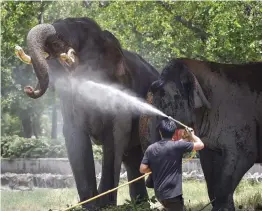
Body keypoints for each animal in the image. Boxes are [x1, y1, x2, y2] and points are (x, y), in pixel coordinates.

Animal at [17, 16, 160, 209]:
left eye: (59, 41)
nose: (29, 89)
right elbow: (74, 135)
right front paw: (90, 205)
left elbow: (115, 136)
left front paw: (105, 205)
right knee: (132, 157)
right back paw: (139, 204)